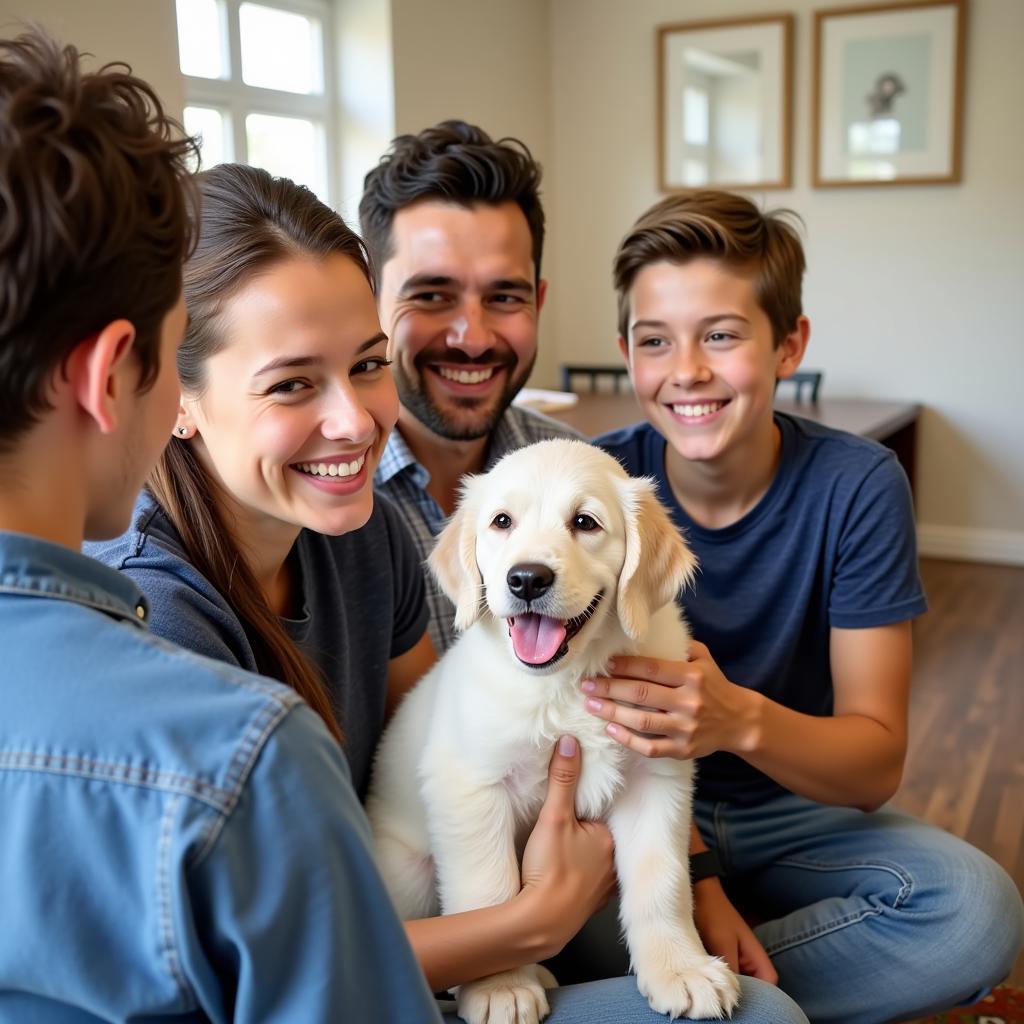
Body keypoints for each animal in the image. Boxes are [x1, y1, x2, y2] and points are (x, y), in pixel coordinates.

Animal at [366, 440, 737, 1024]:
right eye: (502, 522)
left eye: (585, 522)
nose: (526, 578)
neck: (568, 681)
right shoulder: (470, 785)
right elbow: (488, 893)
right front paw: (499, 986)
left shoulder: (657, 777)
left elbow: (662, 880)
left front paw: (681, 968)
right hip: (407, 871)